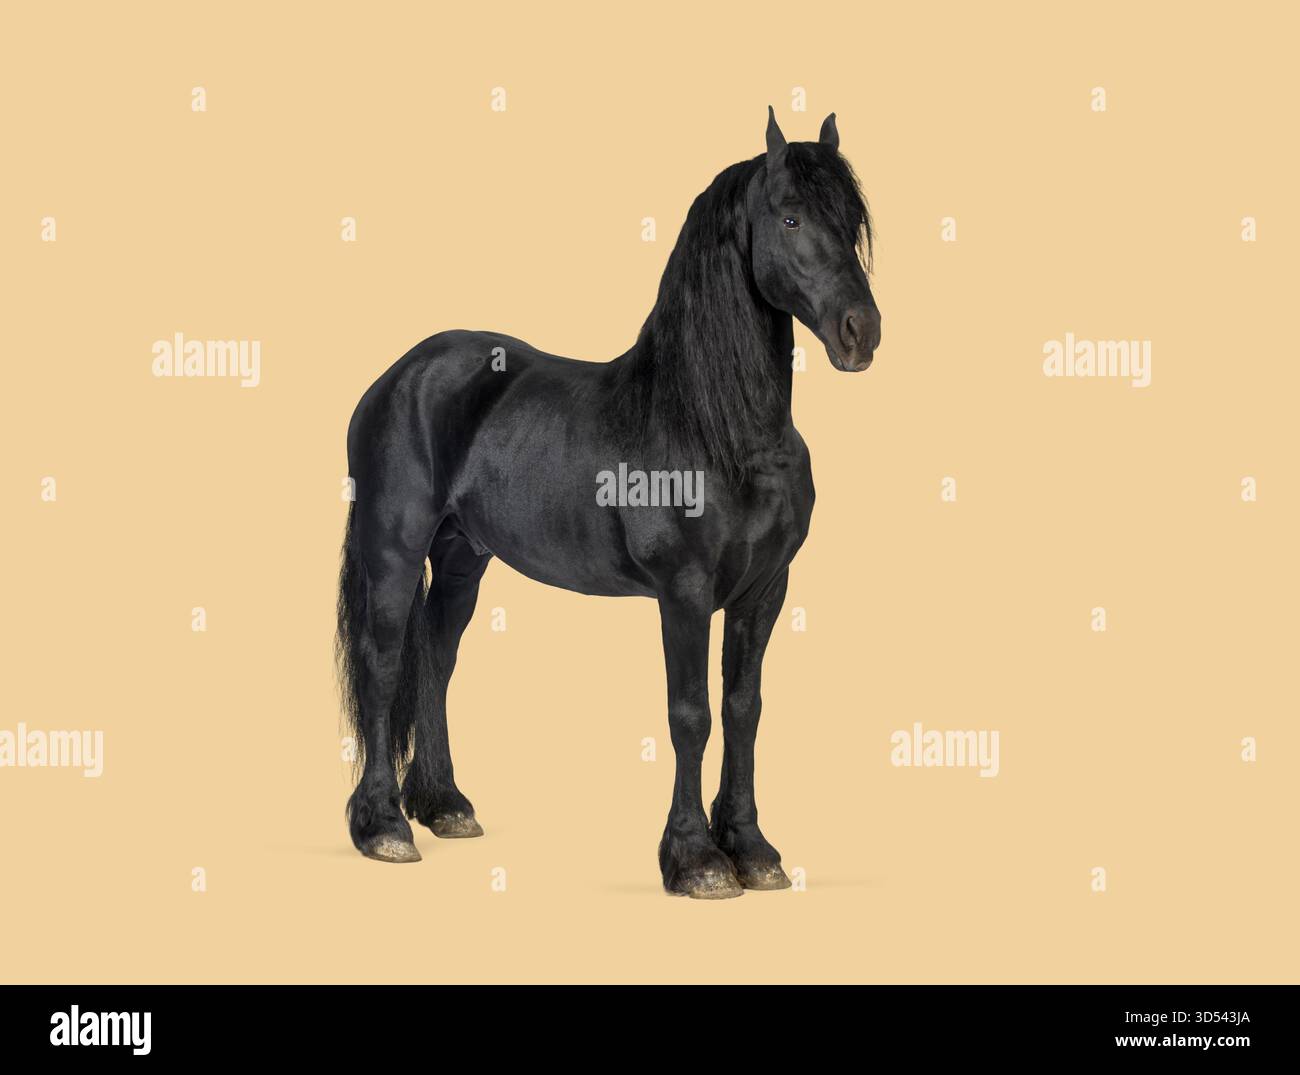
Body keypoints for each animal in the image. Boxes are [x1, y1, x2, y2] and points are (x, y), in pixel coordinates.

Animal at [336, 107, 881, 898]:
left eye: (852, 221)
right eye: (790, 216)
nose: (861, 332)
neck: (710, 425)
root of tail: (398, 376)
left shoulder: (765, 591)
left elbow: (743, 710)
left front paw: (752, 849)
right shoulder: (684, 592)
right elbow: (690, 715)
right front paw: (696, 860)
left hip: (463, 555)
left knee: (435, 656)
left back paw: (446, 806)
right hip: (395, 544)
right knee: (381, 664)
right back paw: (384, 826)